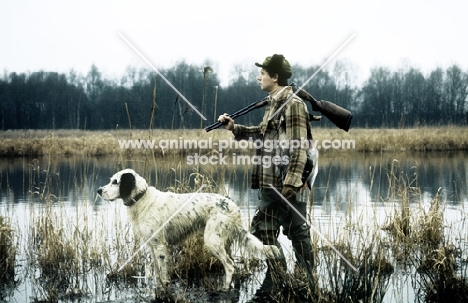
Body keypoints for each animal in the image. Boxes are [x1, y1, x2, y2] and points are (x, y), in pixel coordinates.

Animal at [95, 170, 278, 290]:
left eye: (115, 182)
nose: (99, 190)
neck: (142, 199)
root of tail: (233, 207)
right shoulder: (152, 246)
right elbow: (157, 273)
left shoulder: (160, 247)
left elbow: (163, 274)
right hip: (223, 242)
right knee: (232, 264)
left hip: (212, 240)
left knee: (230, 265)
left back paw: (225, 288)